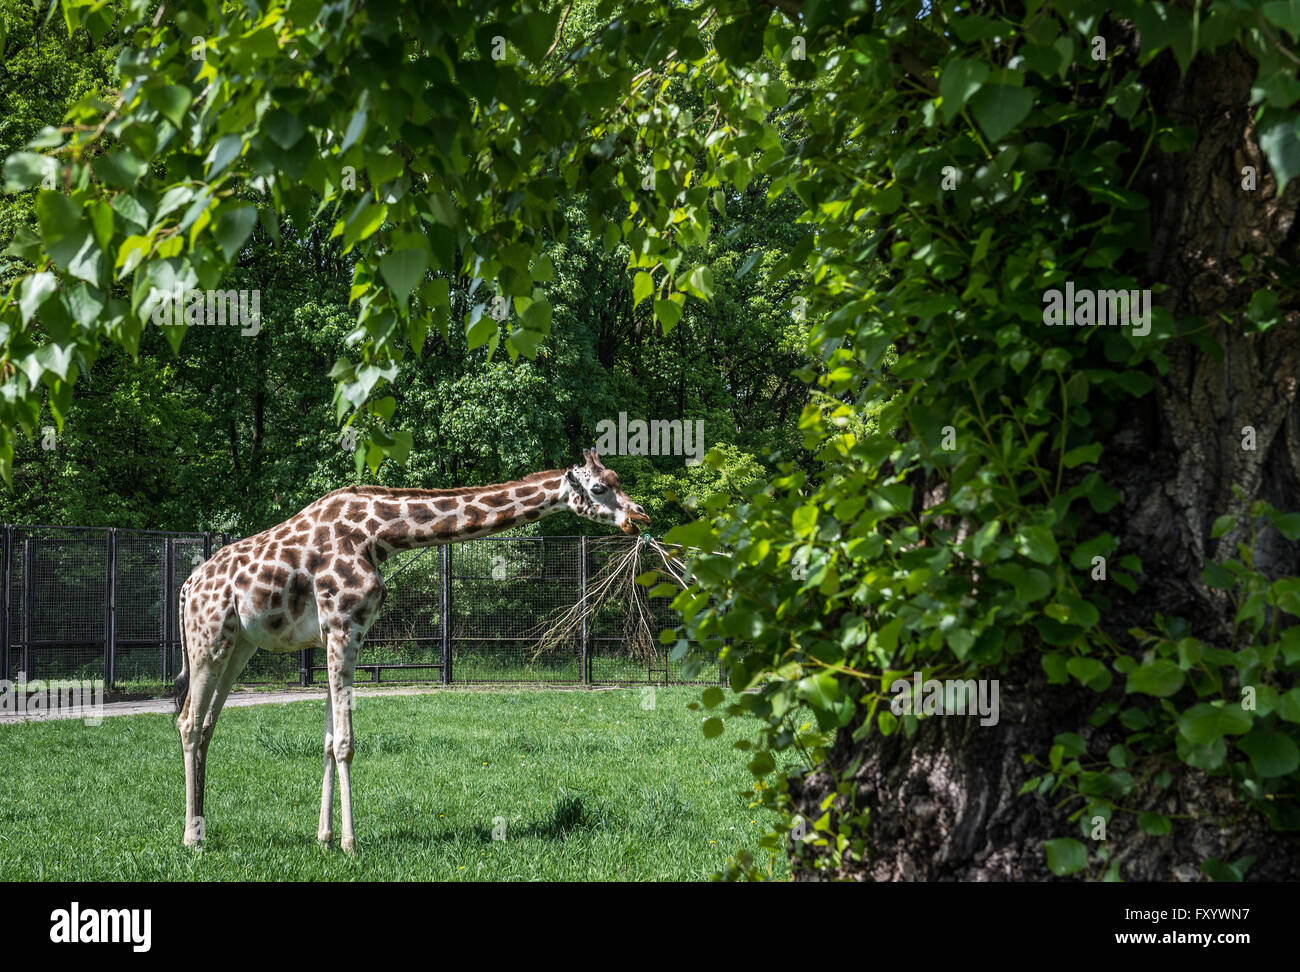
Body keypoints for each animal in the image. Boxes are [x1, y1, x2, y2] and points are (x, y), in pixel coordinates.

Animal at [174, 448, 649, 850]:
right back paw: (190, 839)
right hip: (207, 641)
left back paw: (202, 828)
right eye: (599, 488)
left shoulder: (337, 634)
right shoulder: (344, 626)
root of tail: (186, 587)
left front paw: (324, 838)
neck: (378, 534)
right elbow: (344, 742)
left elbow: (326, 740)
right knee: (188, 723)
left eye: (616, 478)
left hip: (239, 647)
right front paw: (349, 843)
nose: (639, 516)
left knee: (208, 724)